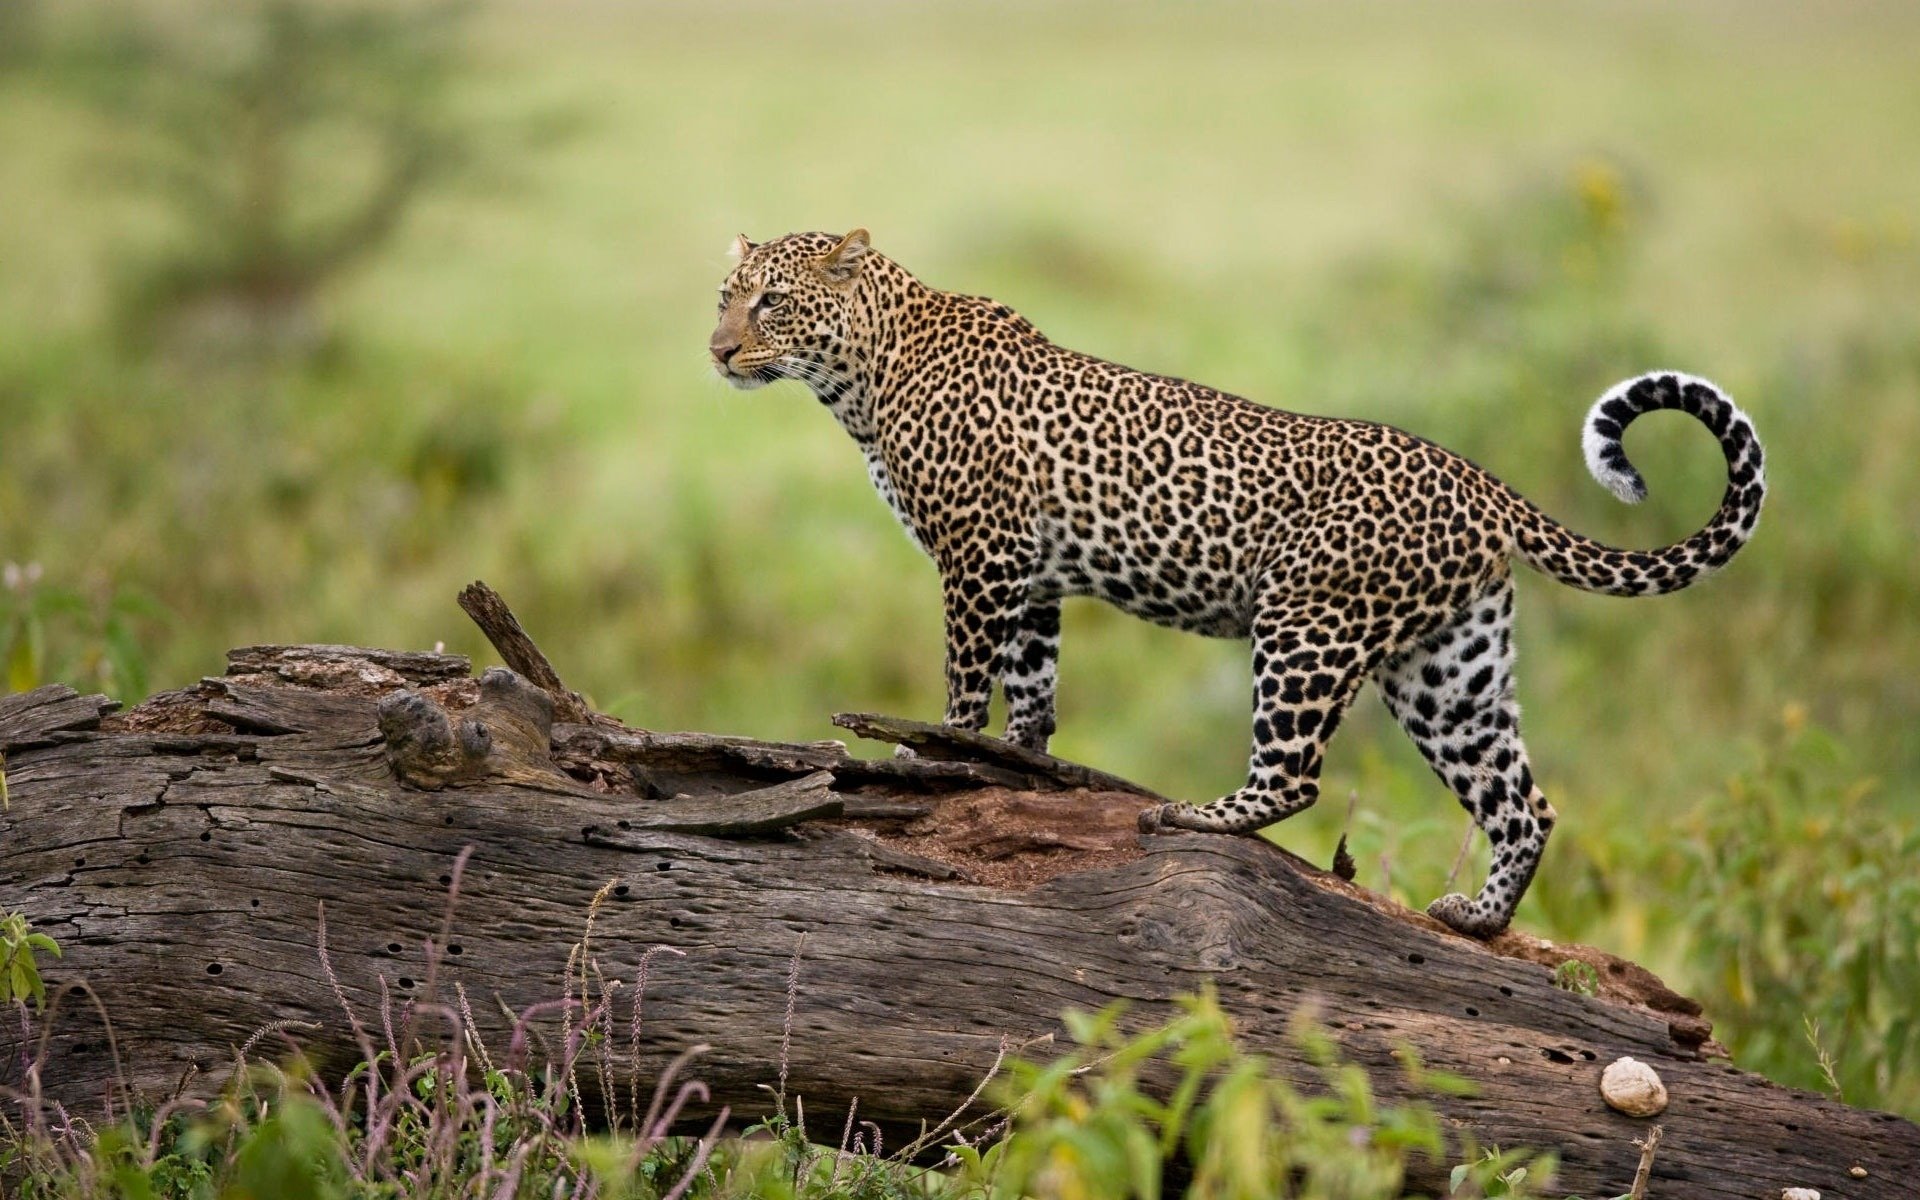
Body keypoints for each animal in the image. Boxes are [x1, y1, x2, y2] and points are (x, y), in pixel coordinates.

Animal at [707, 228, 1765, 938]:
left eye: (772, 304)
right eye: (724, 296)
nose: (718, 351)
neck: (860, 376)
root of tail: (1483, 483)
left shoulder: (979, 557)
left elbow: (967, 683)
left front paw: (928, 762)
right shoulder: (1032, 576)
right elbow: (1034, 690)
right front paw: (1017, 764)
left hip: (1306, 625)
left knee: (1296, 776)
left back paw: (1194, 813)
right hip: (1448, 670)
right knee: (1522, 803)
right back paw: (1479, 918)